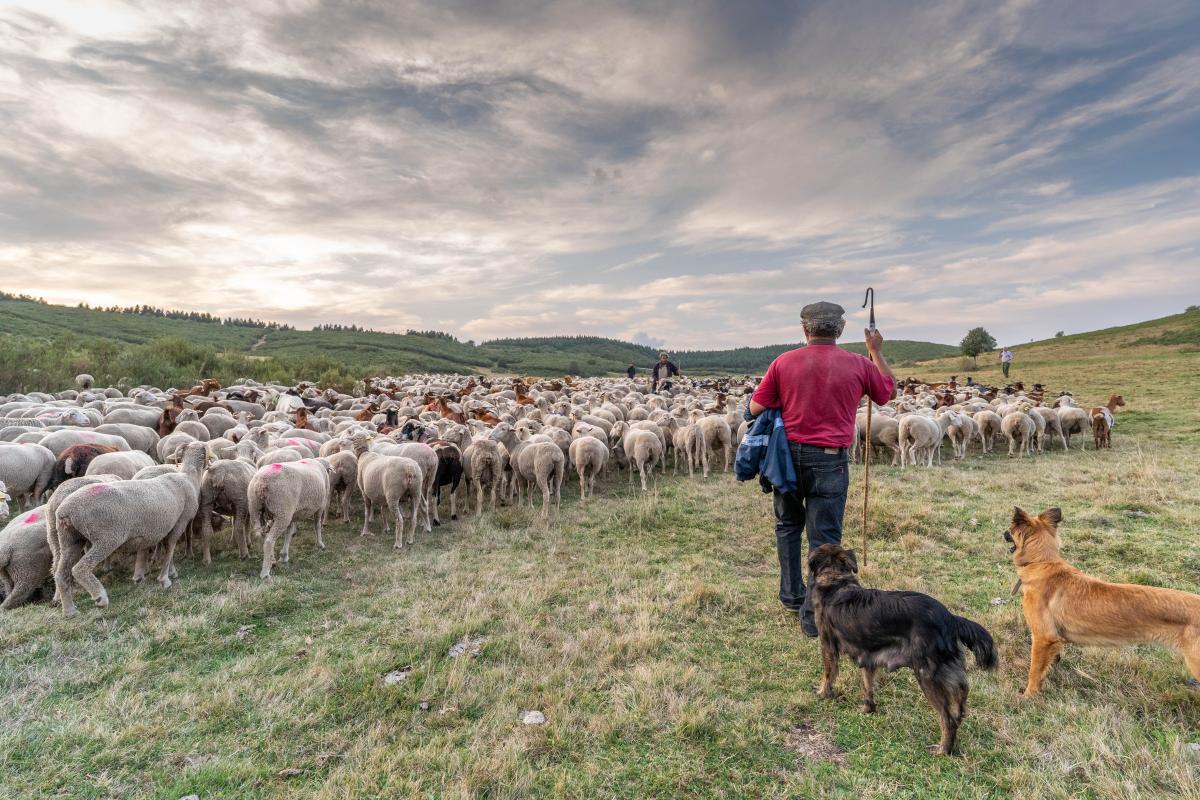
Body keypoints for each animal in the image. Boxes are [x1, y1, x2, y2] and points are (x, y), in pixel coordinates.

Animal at [54, 441, 206, 618]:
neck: (188, 477)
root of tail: (66, 510)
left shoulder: (157, 529)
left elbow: (157, 549)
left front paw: (148, 575)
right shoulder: (179, 522)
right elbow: (170, 548)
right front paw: (165, 579)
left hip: (70, 538)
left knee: (61, 573)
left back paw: (69, 610)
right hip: (107, 537)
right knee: (80, 568)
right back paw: (100, 597)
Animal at [811, 544, 998, 758]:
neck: (835, 578)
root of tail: (950, 618)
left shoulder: (828, 645)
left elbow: (828, 674)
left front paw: (823, 693)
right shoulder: (869, 655)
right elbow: (867, 685)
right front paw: (868, 708)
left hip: (926, 675)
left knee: (947, 718)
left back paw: (943, 750)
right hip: (949, 673)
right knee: (961, 697)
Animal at [1003, 506, 1200, 695]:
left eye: (1010, 529)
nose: (1003, 532)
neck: (1041, 561)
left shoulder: (1043, 637)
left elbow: (1034, 671)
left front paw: (1029, 695)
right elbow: (1047, 665)